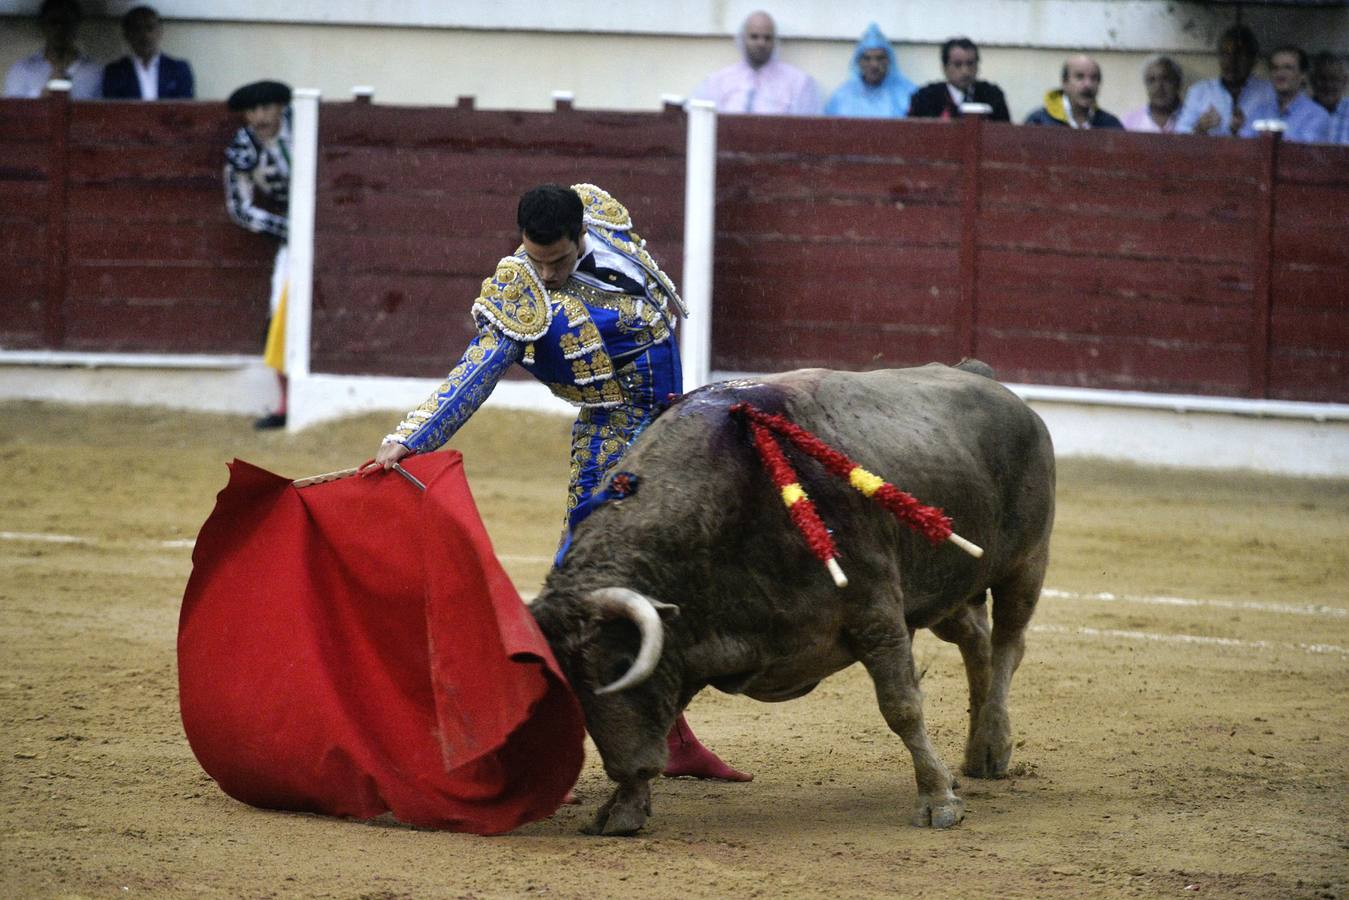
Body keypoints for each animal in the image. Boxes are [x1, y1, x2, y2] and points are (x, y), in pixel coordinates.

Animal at [526, 361, 1052, 836]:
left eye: (620, 665)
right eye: (572, 687)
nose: (628, 767)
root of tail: (985, 377)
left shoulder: (876, 614)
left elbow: (901, 707)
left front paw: (938, 801)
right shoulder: (690, 644)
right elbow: (668, 709)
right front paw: (623, 807)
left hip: (1024, 564)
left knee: (1009, 643)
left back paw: (993, 745)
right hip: (943, 592)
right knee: (975, 639)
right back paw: (980, 753)